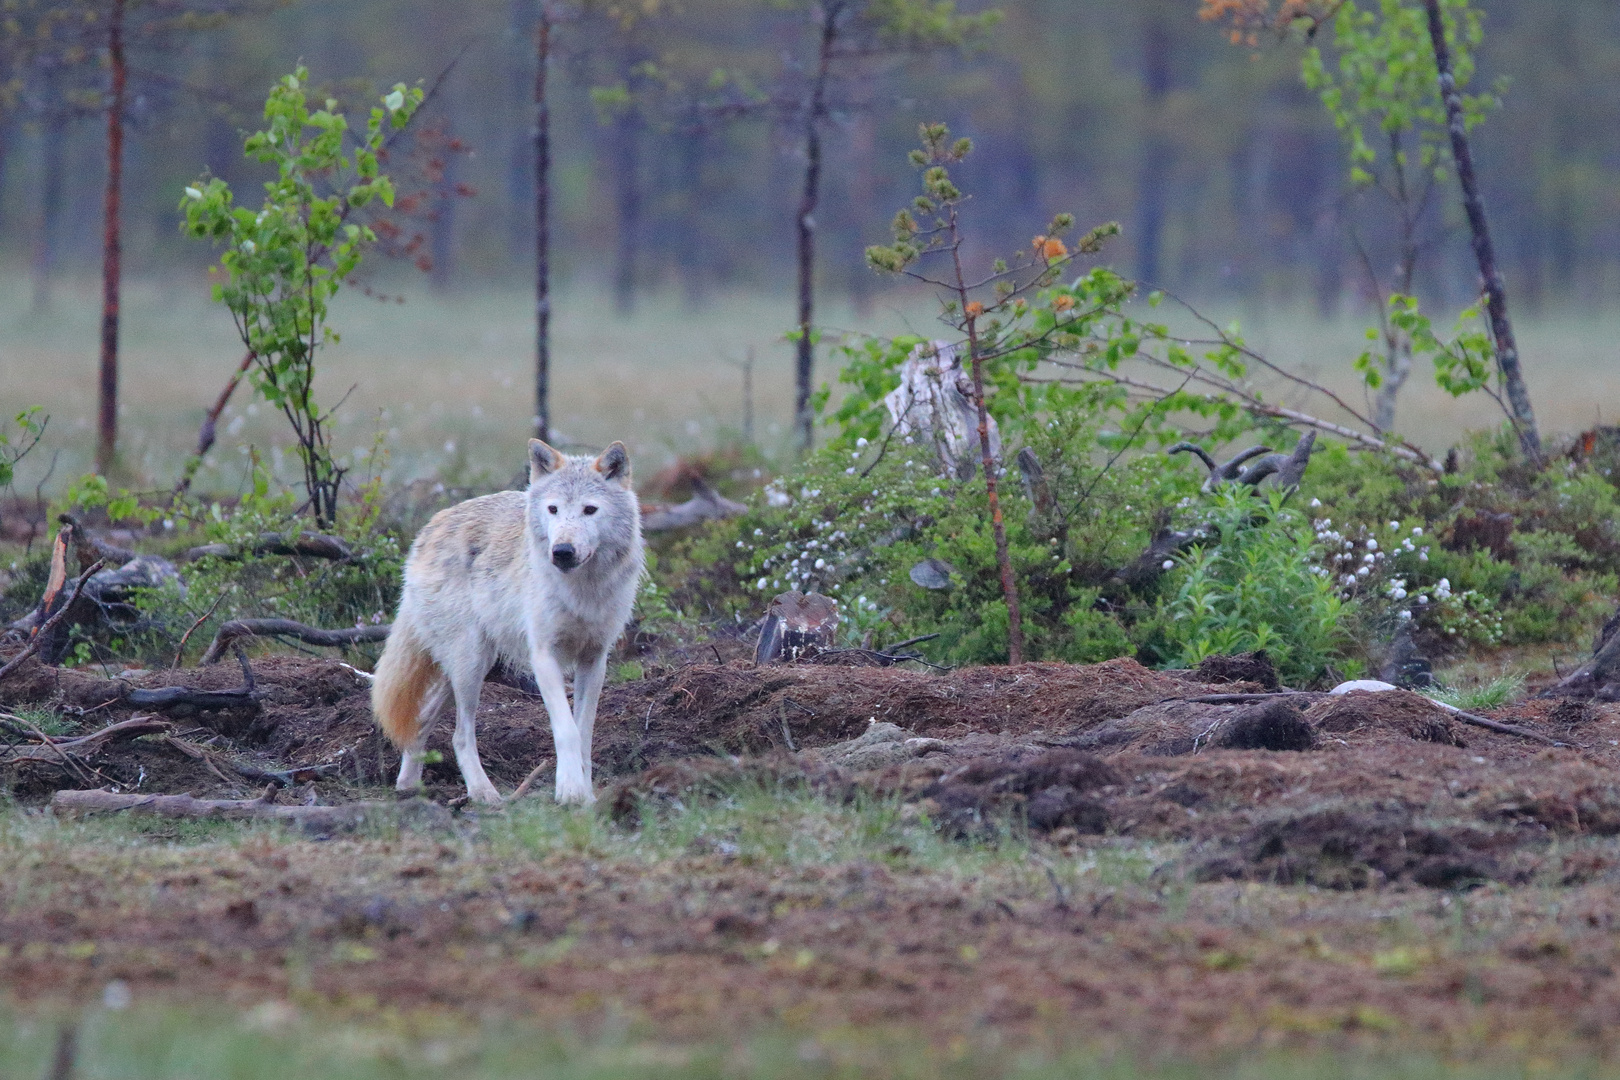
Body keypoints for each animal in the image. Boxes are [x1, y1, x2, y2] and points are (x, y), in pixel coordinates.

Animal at [370, 440, 641, 803]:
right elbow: (566, 731)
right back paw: (484, 794)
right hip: (471, 666)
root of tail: (427, 529)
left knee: (423, 720)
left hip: (466, 669)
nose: (562, 551)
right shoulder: (543, 657)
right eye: (553, 509)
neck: (582, 589)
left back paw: (409, 787)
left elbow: (584, 733)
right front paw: (569, 793)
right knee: (459, 736)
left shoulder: (594, 659)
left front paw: (586, 795)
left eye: (590, 510)